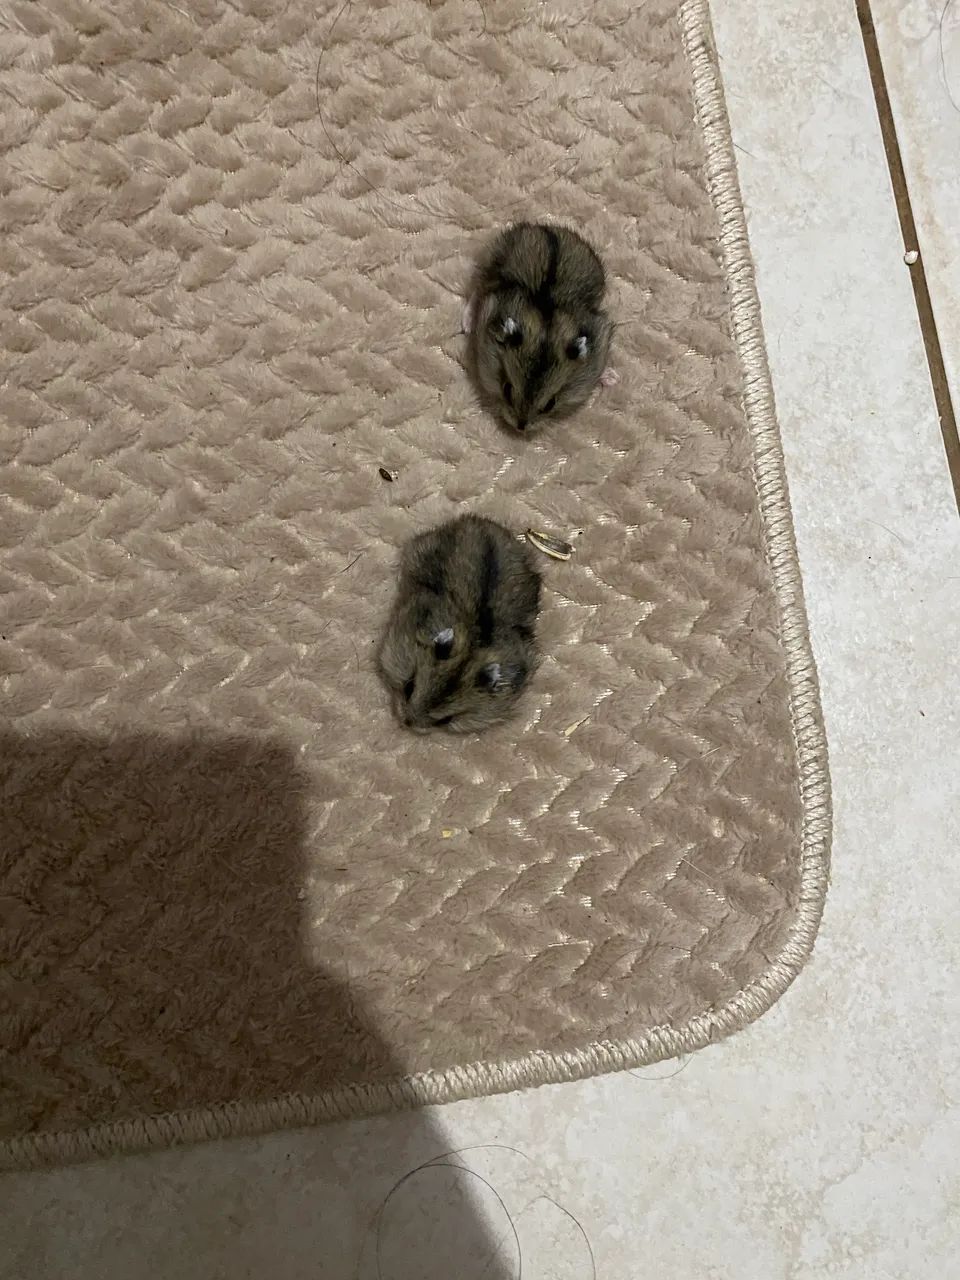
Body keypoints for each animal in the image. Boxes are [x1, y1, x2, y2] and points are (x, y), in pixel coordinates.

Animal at [464, 222, 618, 435]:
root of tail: (541, 226)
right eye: (507, 389)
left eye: (550, 404)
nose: (520, 427)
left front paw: (613, 378)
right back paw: (467, 323)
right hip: (488, 265)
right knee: (477, 290)